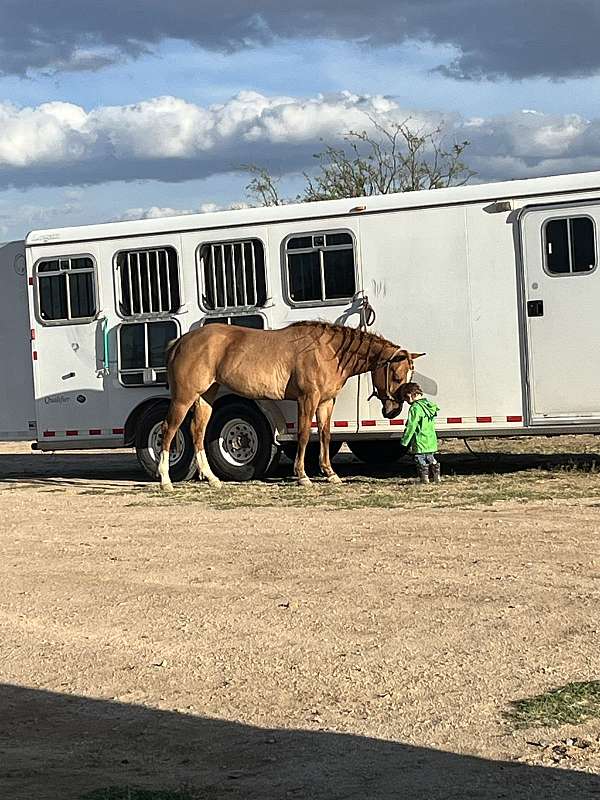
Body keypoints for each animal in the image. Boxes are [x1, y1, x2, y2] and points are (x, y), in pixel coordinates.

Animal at [158, 321, 424, 490]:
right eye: (397, 376)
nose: (393, 411)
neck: (328, 351)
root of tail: (179, 343)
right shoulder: (307, 398)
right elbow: (305, 434)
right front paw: (302, 476)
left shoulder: (326, 402)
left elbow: (325, 435)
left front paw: (330, 474)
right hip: (184, 398)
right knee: (169, 430)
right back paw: (165, 480)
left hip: (205, 397)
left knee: (197, 432)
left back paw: (212, 479)